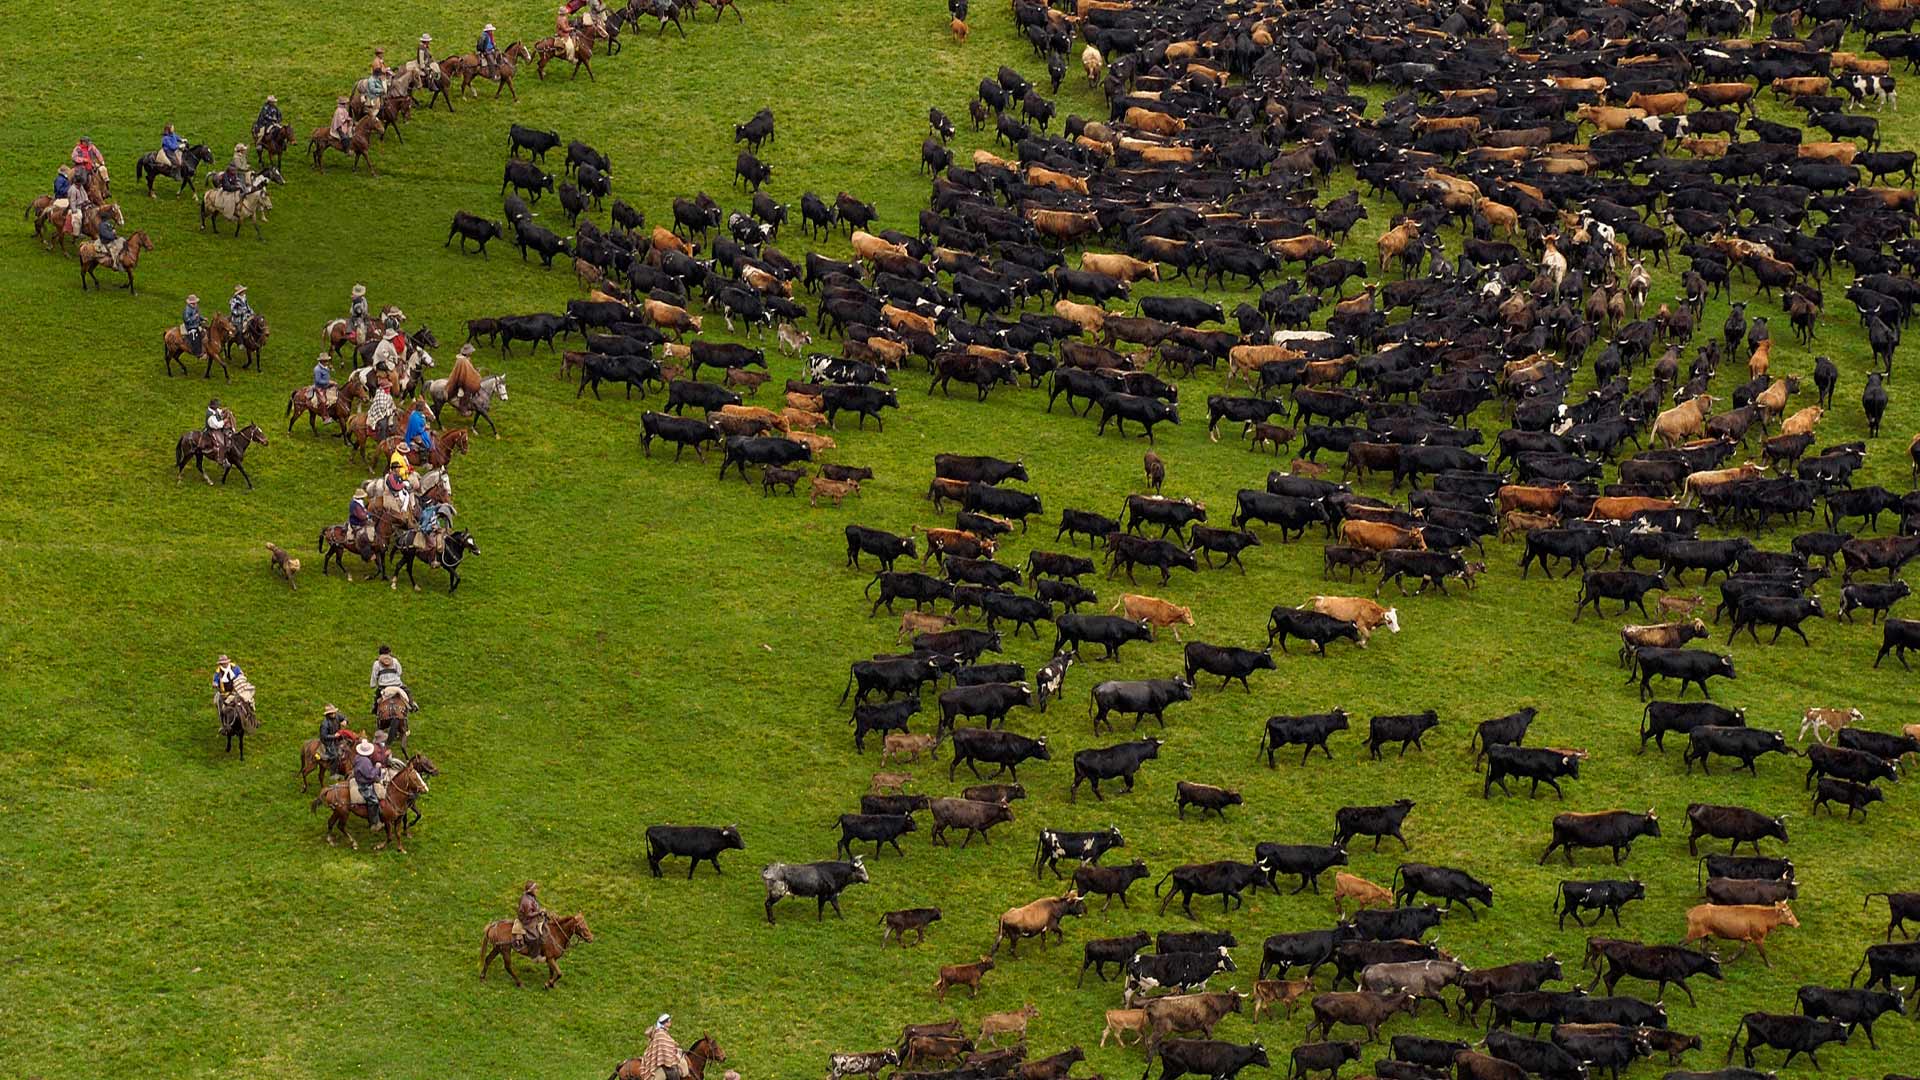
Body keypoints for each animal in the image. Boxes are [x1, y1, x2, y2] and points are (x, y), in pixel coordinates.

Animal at [307, 749, 435, 849]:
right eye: (415, 778)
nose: (426, 788)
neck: (391, 795)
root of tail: (330, 788)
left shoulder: (406, 807)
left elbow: (411, 818)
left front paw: (404, 837)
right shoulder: (393, 815)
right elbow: (394, 830)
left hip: (337, 811)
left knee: (331, 822)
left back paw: (330, 839)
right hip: (343, 812)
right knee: (341, 826)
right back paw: (354, 842)